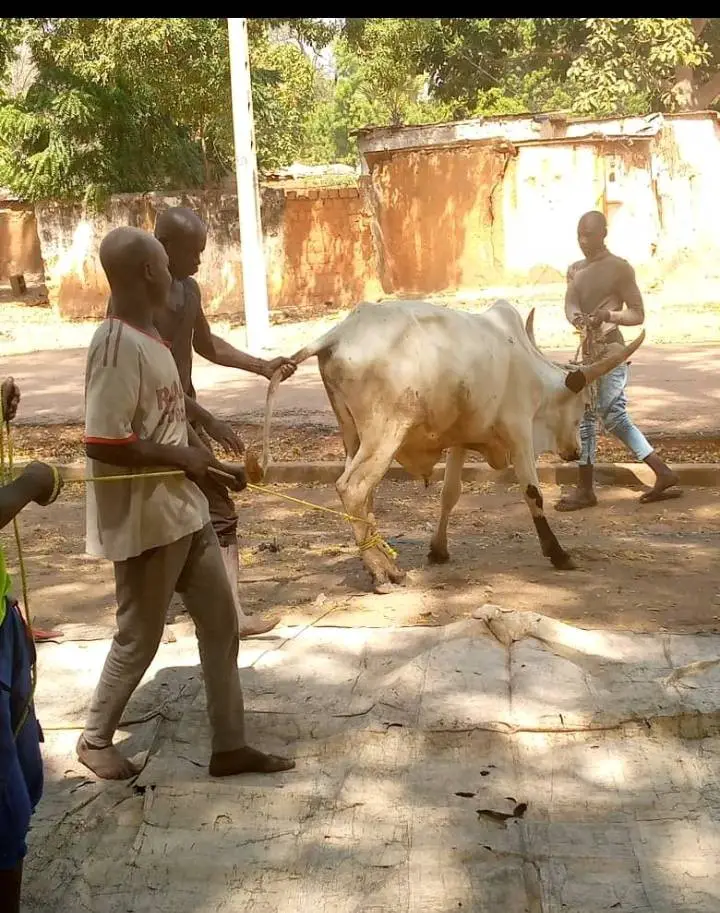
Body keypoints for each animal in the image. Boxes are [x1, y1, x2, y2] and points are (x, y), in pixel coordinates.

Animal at [256, 300, 644, 592]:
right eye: (583, 407)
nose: (574, 452)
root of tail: (337, 333)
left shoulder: (461, 439)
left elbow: (450, 494)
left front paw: (438, 550)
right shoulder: (519, 431)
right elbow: (533, 494)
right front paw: (558, 553)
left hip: (353, 436)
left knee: (364, 497)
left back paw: (385, 567)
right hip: (385, 432)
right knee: (351, 488)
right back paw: (381, 573)